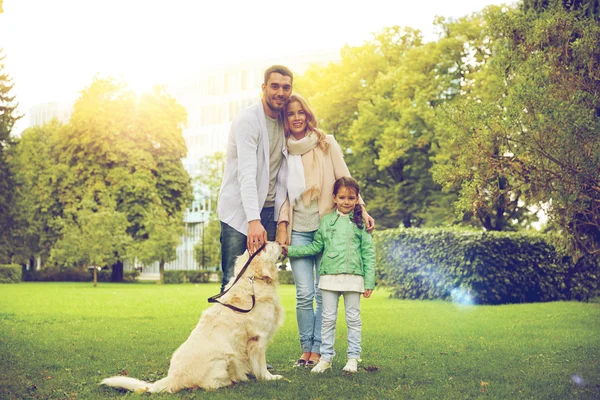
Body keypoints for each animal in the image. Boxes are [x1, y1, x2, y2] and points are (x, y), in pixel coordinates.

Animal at [101, 241, 286, 394]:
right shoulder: (258, 338)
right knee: (208, 385)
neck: (253, 280)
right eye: (266, 245)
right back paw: (231, 381)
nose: (279, 241)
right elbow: (261, 363)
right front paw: (269, 377)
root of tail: (173, 377)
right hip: (225, 357)